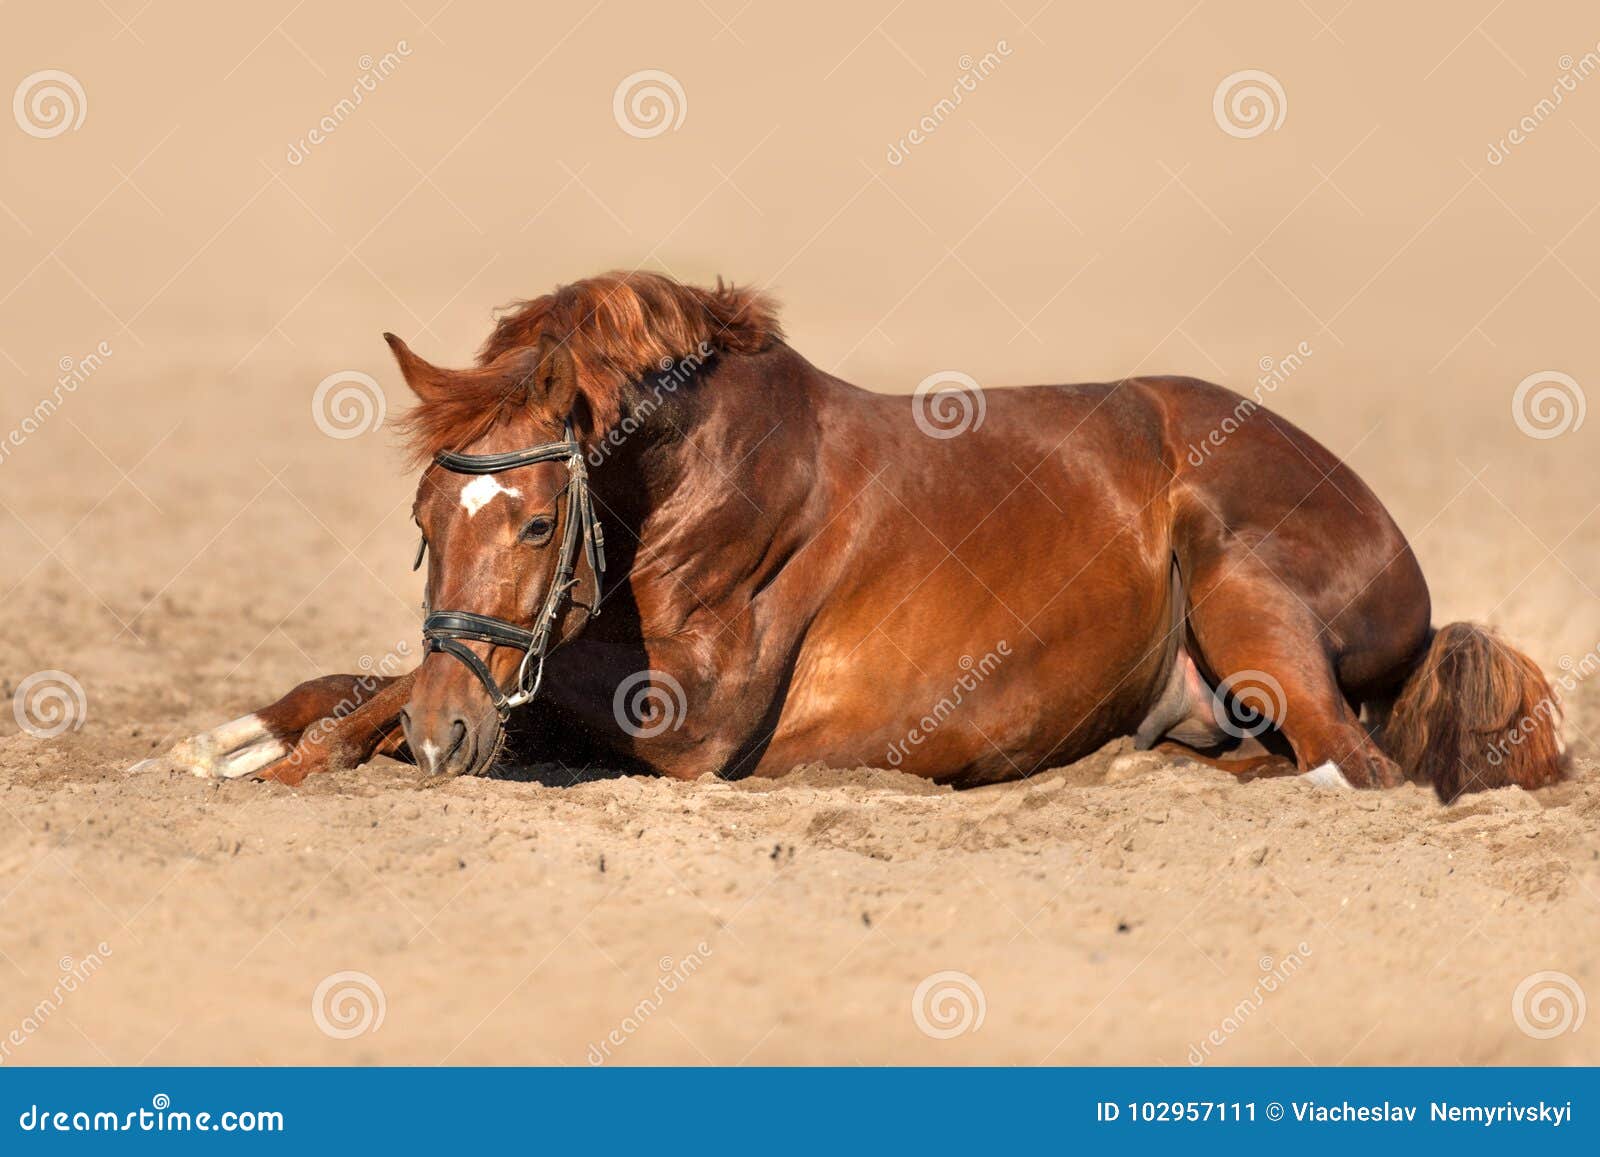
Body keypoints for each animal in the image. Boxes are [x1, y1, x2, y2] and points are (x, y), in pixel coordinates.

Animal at [141, 271, 1565, 802]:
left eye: (541, 519)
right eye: (422, 522)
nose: (451, 737)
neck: (702, 476)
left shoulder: (688, 726)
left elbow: (453, 700)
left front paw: (292, 757)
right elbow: (368, 677)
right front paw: (232, 734)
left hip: (1239, 581)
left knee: (1353, 767)